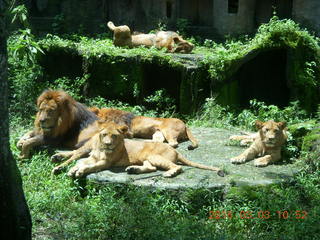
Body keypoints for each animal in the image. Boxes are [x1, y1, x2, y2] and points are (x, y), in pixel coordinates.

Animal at [66, 122, 224, 178]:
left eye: (114, 136)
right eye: (104, 135)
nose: (108, 144)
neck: (101, 149)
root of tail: (177, 152)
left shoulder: (106, 163)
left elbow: (89, 167)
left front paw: (79, 171)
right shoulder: (91, 157)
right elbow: (80, 162)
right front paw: (72, 169)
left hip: (155, 156)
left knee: (177, 167)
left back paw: (169, 173)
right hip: (147, 159)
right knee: (152, 168)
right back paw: (133, 170)